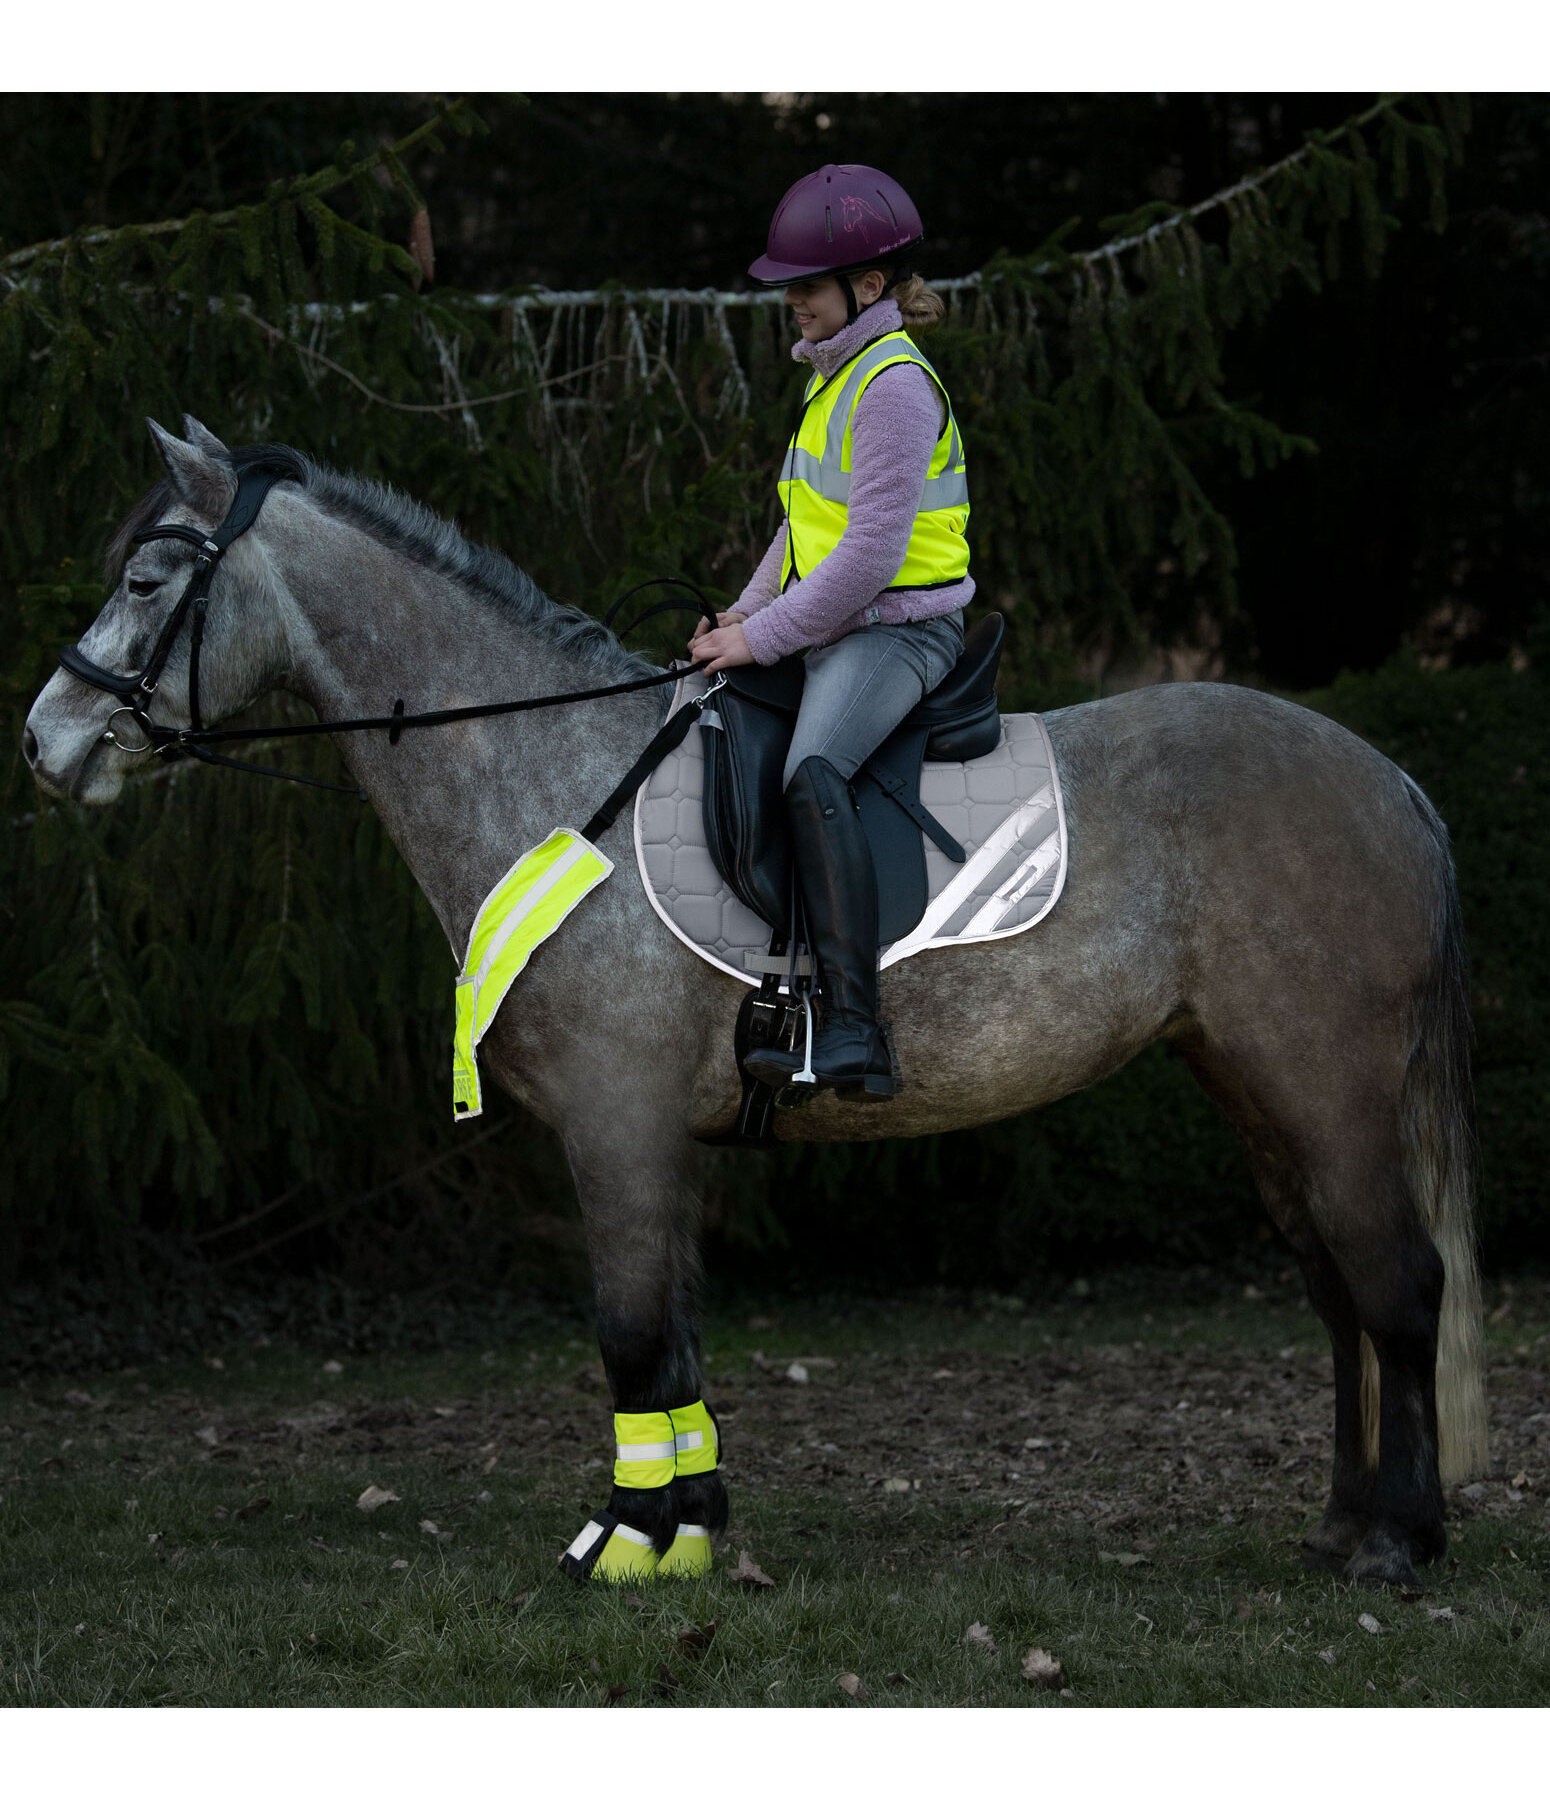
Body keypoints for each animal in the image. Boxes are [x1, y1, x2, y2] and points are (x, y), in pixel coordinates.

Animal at [24, 421, 1490, 1591]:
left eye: (148, 579)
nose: (46, 742)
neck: (553, 777)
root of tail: (1391, 783)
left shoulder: (614, 1125)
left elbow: (628, 1334)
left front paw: (631, 1546)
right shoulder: (653, 1141)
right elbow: (671, 1337)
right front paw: (688, 1528)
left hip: (1321, 1085)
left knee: (1395, 1284)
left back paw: (1397, 1542)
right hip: (1250, 1084)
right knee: (1336, 1293)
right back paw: (1339, 1524)